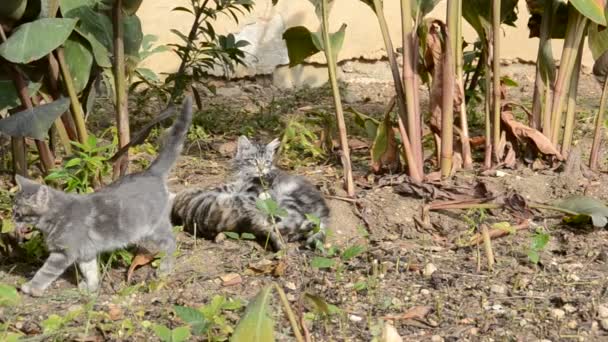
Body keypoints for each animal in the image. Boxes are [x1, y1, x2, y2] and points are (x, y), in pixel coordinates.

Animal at [12, 96, 192, 296]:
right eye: (13, 210)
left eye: (18, 213)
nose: (12, 219)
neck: (55, 218)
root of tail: (151, 172)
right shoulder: (86, 252)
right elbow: (90, 270)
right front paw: (90, 288)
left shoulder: (63, 253)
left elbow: (45, 272)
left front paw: (31, 287)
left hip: (153, 229)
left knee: (171, 242)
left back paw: (164, 269)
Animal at [169, 135, 330, 250]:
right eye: (253, 160)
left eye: (266, 162)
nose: (261, 169)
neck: (246, 176)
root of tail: (325, 211)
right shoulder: (235, 185)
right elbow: (221, 188)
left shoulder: (253, 189)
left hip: (288, 201)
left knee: (291, 222)